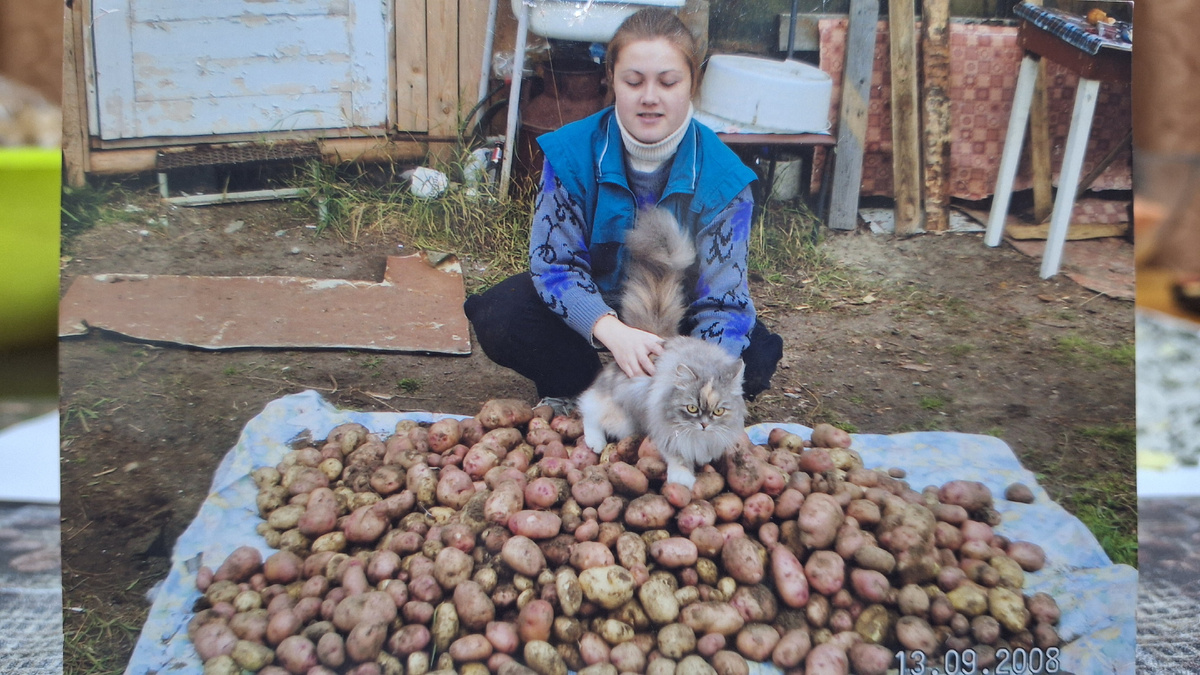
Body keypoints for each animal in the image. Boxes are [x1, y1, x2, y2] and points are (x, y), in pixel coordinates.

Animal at [576, 207, 744, 485]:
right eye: (691, 408)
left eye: (719, 411)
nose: (704, 424)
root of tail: (655, 336)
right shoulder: (667, 432)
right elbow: (677, 456)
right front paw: (683, 480)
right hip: (620, 417)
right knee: (588, 410)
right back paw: (595, 443)